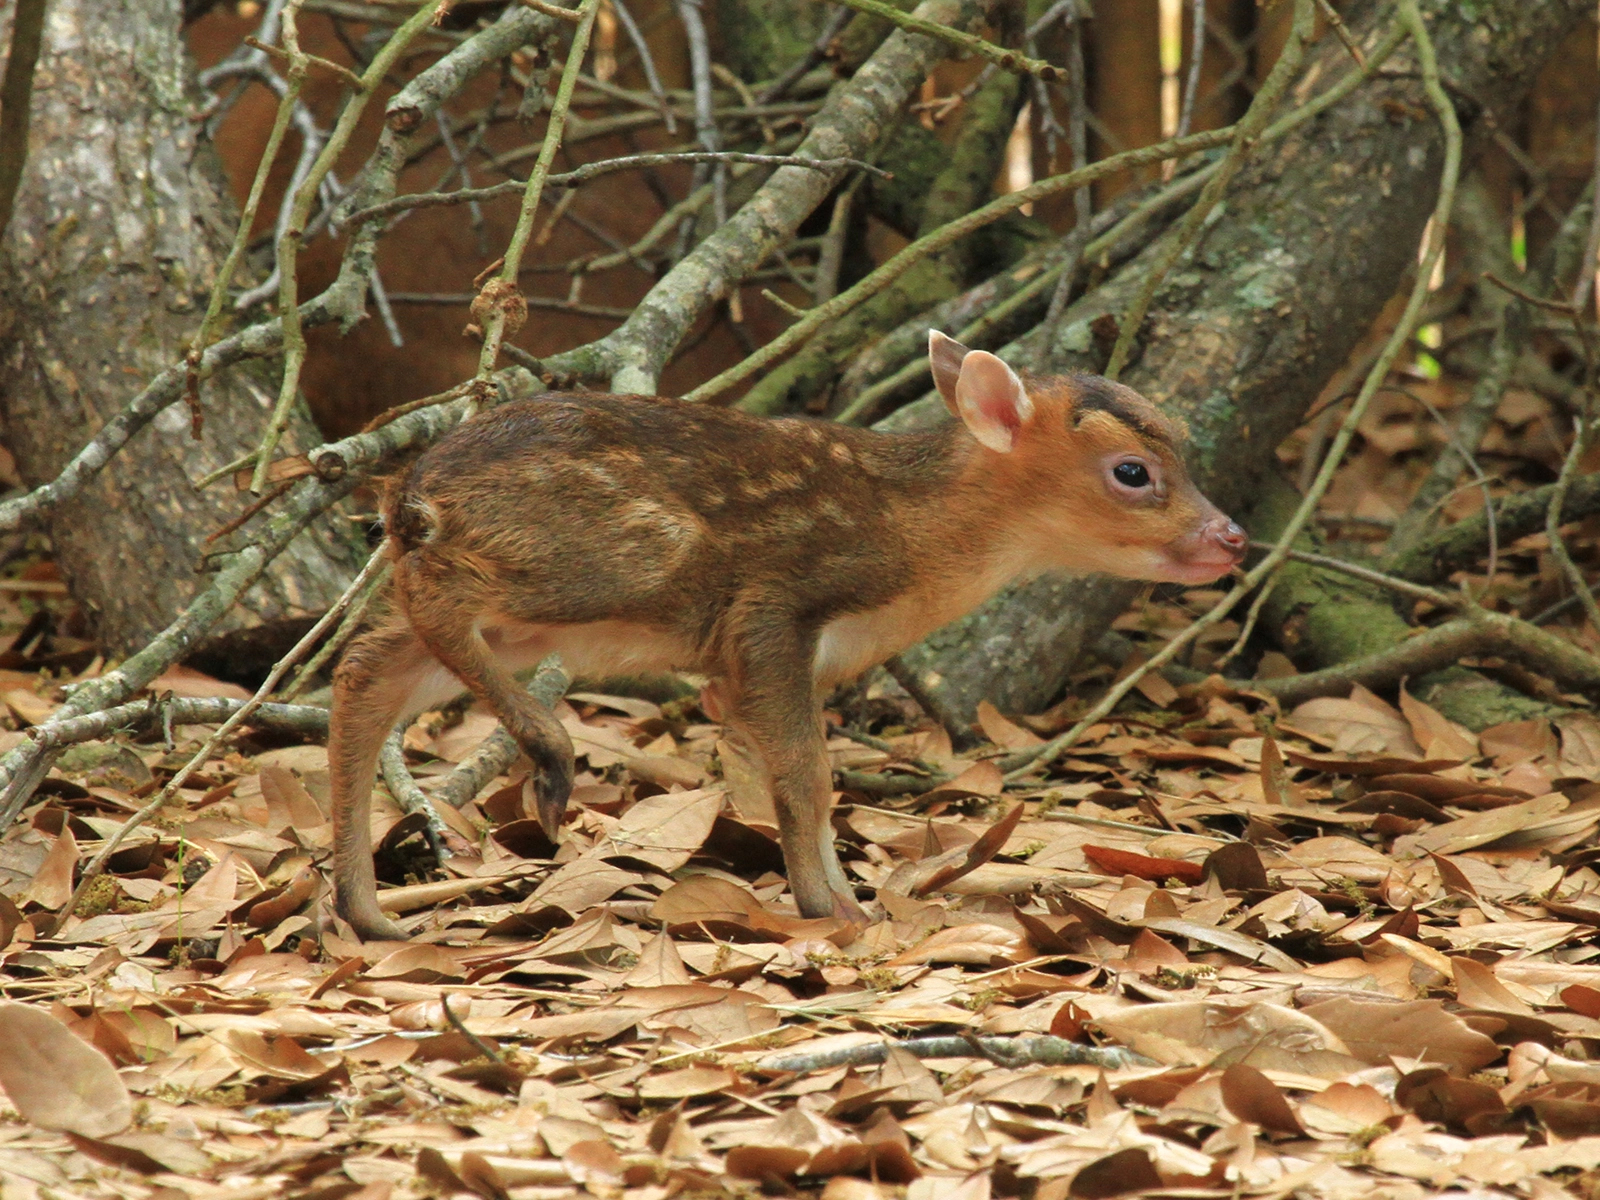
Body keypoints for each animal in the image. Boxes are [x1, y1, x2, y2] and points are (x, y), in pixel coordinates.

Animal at [328, 331, 1247, 940]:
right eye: (1133, 472)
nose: (1232, 538)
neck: (913, 539)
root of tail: (412, 493)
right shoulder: (773, 609)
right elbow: (807, 774)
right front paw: (829, 907)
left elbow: (809, 775)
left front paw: (850, 896)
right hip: (613, 557)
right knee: (429, 602)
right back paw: (547, 761)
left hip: (527, 618)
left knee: (365, 664)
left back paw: (368, 914)